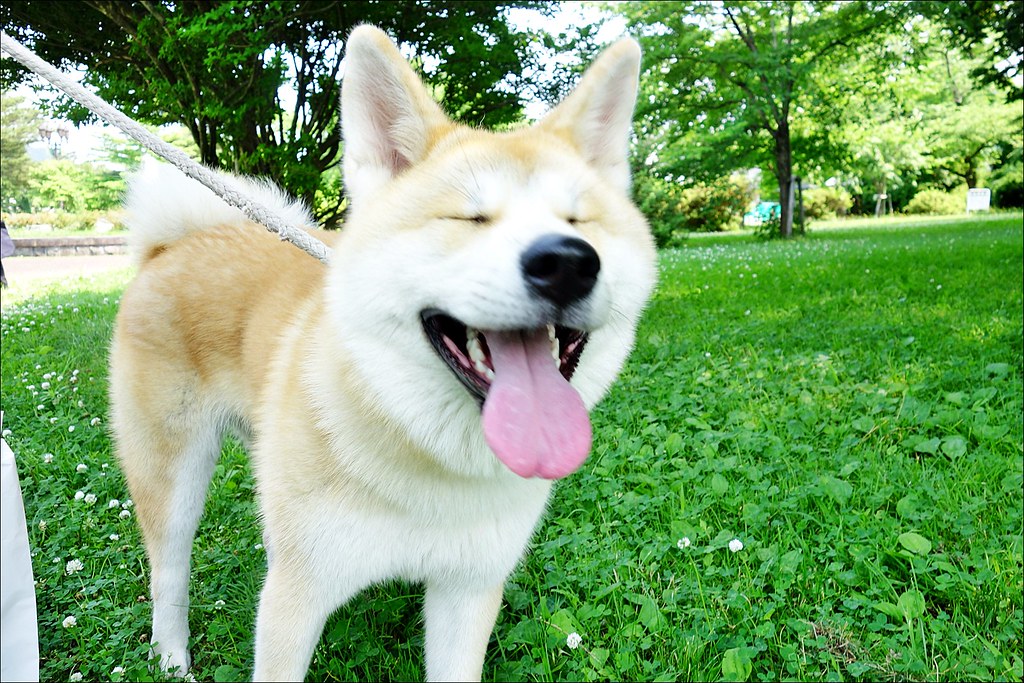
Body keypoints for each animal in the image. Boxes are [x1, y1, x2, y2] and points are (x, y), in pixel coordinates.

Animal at [108, 24, 655, 679]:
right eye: (470, 217)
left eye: (579, 220)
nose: (568, 262)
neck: (426, 453)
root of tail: (177, 243)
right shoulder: (295, 590)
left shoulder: (468, 589)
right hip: (172, 476)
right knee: (168, 575)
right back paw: (172, 659)